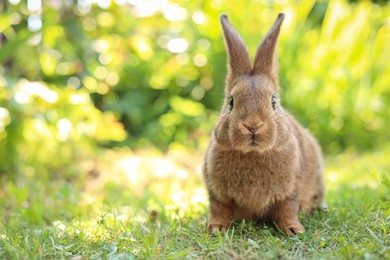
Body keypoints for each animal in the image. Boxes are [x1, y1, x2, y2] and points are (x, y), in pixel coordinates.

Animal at [203, 12, 324, 236]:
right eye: (231, 102)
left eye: (273, 101)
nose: (252, 125)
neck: (253, 153)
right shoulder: (217, 192)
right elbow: (219, 209)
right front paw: (216, 229)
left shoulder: (289, 191)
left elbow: (286, 210)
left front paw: (294, 230)